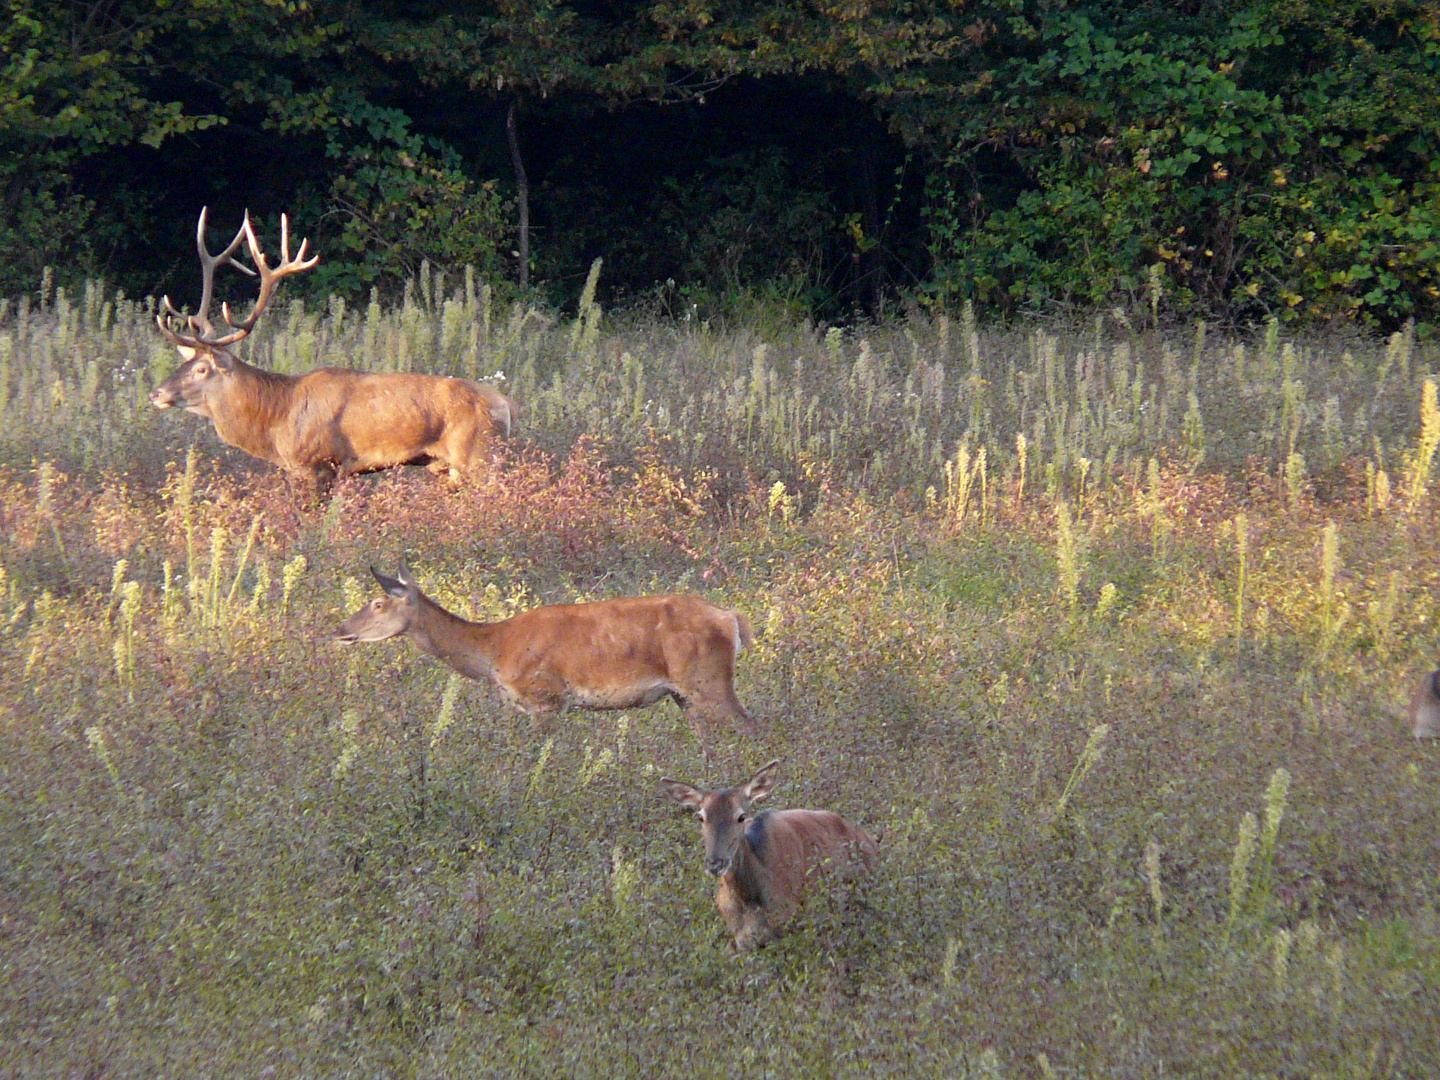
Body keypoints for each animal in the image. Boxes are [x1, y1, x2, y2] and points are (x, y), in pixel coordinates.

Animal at [150, 207, 512, 495]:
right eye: (186, 363)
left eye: (202, 369)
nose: (156, 393)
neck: (277, 418)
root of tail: (507, 407)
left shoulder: (319, 464)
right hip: (448, 466)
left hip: (478, 455)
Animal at [334, 567, 754, 754]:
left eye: (377, 603)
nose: (340, 629)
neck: (493, 650)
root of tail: (731, 618)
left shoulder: (546, 699)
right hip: (685, 695)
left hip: (707, 680)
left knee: (751, 725)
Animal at [662, 760, 875, 956]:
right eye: (700, 817)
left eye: (741, 816)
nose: (715, 863)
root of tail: (868, 838)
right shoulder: (740, 938)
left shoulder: (788, 924)